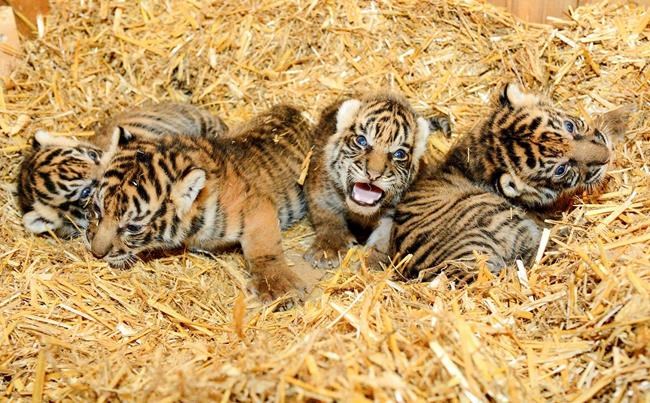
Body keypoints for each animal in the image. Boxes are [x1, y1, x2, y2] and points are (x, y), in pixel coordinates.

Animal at [85, 104, 312, 301]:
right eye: (97, 209)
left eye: (133, 227)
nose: (96, 254)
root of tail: (291, 108)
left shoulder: (257, 208)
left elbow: (264, 248)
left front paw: (278, 287)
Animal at [303, 92, 441, 269]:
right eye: (362, 141)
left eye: (399, 154)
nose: (374, 174)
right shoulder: (320, 191)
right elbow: (328, 217)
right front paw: (327, 249)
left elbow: (385, 237)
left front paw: (373, 262)